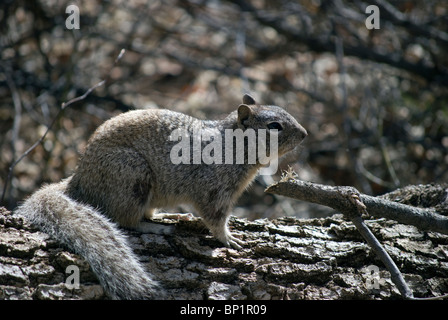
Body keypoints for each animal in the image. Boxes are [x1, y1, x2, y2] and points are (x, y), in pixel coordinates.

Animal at [14, 94, 308, 298]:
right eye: (274, 126)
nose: (305, 134)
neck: (231, 145)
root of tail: (78, 182)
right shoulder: (213, 190)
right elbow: (215, 219)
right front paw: (229, 238)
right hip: (132, 178)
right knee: (127, 221)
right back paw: (156, 229)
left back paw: (169, 216)